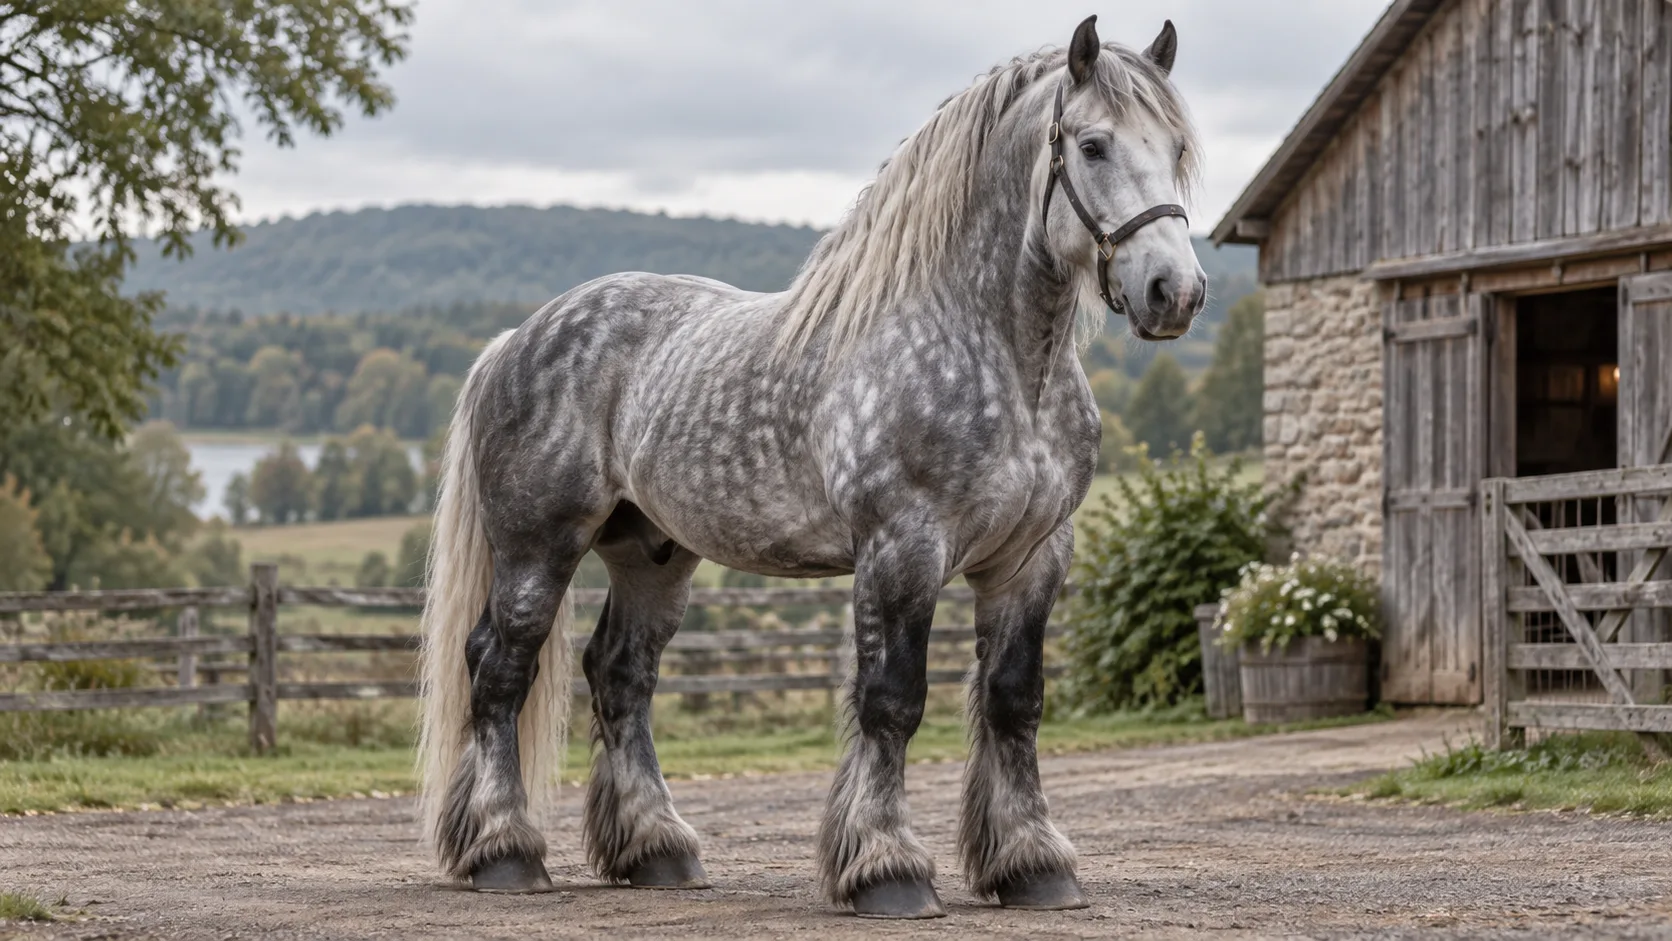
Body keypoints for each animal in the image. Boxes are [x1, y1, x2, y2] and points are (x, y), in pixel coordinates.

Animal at [416, 14, 1206, 919]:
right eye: (1093, 144)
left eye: (1177, 147)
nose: (1174, 291)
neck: (1003, 359)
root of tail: (517, 337)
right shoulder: (902, 548)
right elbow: (891, 701)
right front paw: (888, 868)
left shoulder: (1033, 557)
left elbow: (1014, 701)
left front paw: (1032, 863)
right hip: (536, 549)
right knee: (500, 670)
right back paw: (502, 849)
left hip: (652, 555)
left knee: (620, 675)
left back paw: (657, 848)